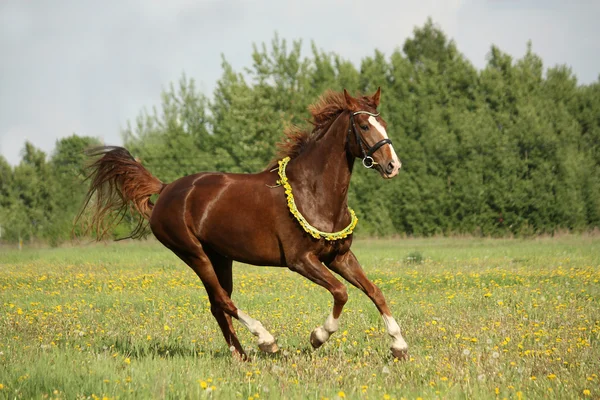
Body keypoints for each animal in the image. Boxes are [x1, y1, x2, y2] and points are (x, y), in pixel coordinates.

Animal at [78, 87, 408, 360]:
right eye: (364, 126)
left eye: (384, 124)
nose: (393, 166)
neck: (312, 192)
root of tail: (167, 188)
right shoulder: (301, 260)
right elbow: (341, 292)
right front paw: (317, 337)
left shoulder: (339, 256)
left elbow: (375, 291)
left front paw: (399, 346)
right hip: (193, 254)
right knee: (223, 300)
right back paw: (266, 342)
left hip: (221, 257)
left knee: (217, 304)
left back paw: (241, 355)